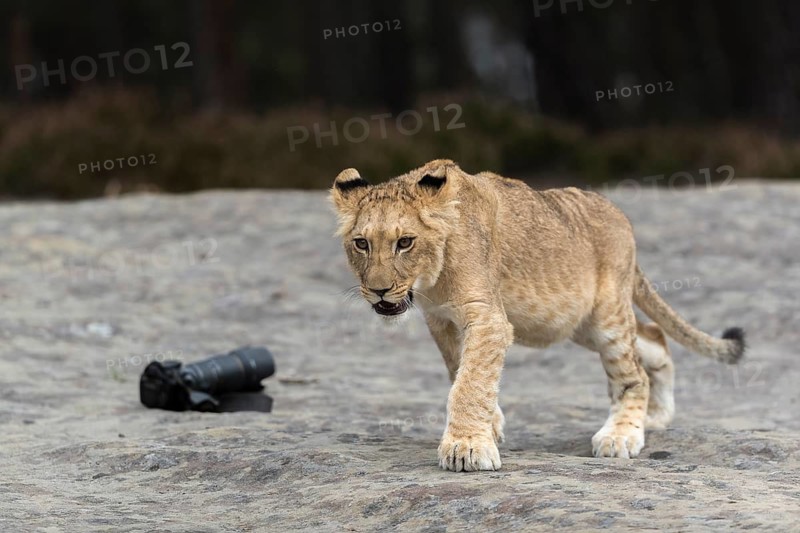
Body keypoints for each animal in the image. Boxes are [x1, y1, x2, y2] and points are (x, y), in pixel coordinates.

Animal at [330, 159, 745, 472]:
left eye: (405, 242)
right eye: (361, 244)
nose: (379, 290)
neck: (431, 280)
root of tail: (620, 216)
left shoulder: (487, 317)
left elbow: (469, 381)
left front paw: (466, 447)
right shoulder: (441, 320)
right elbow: (460, 370)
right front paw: (490, 425)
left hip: (606, 316)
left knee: (633, 375)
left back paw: (622, 434)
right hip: (574, 322)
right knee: (654, 335)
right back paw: (656, 416)